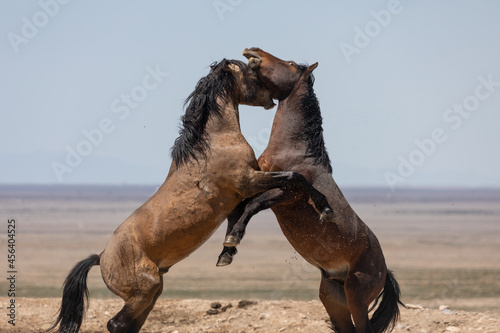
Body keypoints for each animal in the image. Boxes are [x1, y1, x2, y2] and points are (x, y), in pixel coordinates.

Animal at [48, 59, 334, 332]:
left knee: (128, 326)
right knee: (116, 324)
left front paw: (227, 251)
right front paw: (325, 209)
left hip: (151, 295)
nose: (271, 99)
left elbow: (242, 214)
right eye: (251, 71)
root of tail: (102, 258)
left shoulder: (236, 197)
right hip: (145, 291)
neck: (215, 142)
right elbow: (294, 177)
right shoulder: (248, 181)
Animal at [218, 49, 402, 332]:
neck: (294, 151)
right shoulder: (258, 182)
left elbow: (251, 207)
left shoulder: (283, 195)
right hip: (333, 298)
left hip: (357, 297)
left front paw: (233, 240)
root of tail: (384, 270)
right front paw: (226, 252)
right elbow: (238, 210)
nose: (253, 51)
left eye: (291, 64)